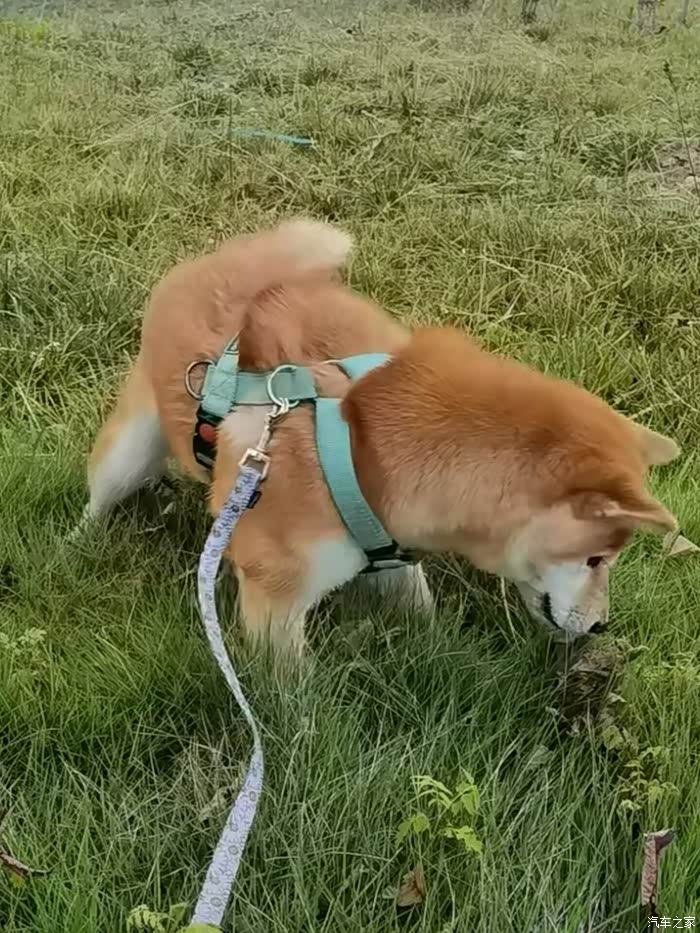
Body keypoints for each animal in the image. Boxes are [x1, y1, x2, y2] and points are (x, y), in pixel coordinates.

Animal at [83, 218, 679, 656]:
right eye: (597, 560)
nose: (602, 627)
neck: (366, 445)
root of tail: (219, 262)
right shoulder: (274, 595)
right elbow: (290, 701)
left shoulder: (393, 557)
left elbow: (424, 616)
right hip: (129, 453)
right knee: (98, 497)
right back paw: (78, 547)